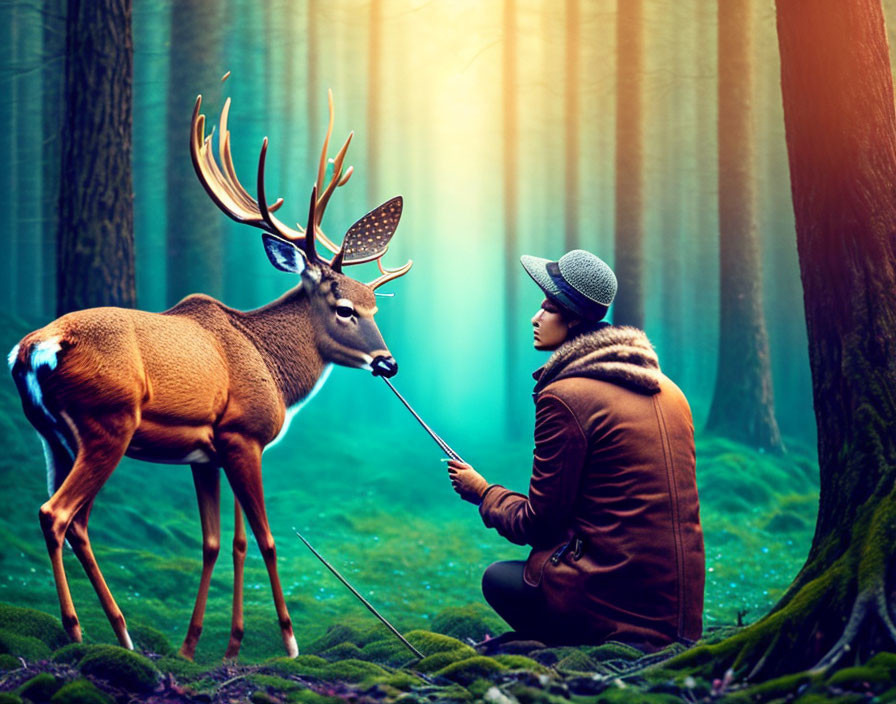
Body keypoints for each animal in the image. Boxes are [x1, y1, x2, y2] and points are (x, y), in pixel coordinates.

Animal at [6, 88, 412, 660]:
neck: (273, 369)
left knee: (75, 520)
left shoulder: (212, 451)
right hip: (107, 422)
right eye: (344, 308)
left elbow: (222, 542)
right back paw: (87, 630)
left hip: (52, 436)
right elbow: (265, 539)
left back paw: (113, 631)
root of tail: (34, 347)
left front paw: (207, 646)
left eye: (375, 304)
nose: (388, 362)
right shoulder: (244, 434)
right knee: (57, 513)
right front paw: (289, 642)